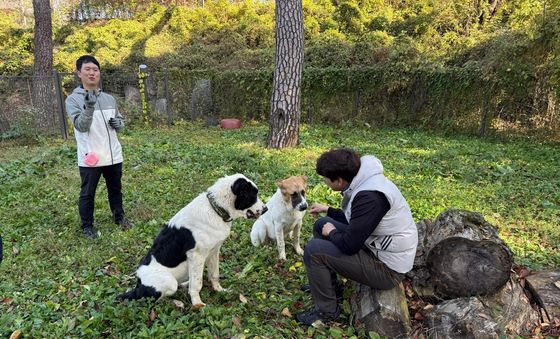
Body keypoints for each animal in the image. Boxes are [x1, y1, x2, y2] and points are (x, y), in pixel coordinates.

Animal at [116, 174, 266, 310]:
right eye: (252, 196)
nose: (266, 209)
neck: (215, 210)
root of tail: (138, 284)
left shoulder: (214, 251)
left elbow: (214, 274)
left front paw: (219, 290)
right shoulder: (196, 256)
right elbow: (197, 284)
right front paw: (197, 304)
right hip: (168, 282)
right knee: (156, 299)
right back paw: (178, 302)